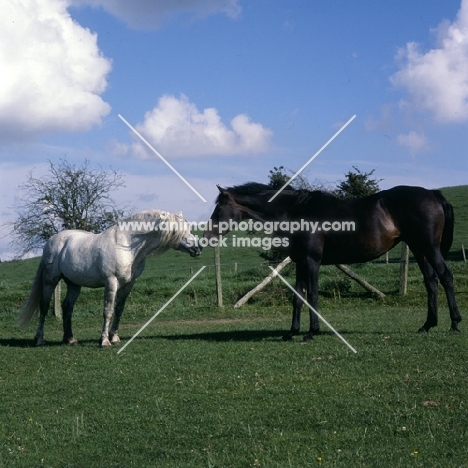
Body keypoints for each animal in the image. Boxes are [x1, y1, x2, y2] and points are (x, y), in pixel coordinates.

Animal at [19, 210, 201, 346]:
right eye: (176, 230)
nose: (198, 248)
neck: (127, 245)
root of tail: (52, 241)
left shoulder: (128, 284)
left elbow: (119, 310)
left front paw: (115, 338)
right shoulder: (111, 282)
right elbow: (108, 311)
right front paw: (104, 341)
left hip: (74, 284)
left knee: (67, 307)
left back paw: (70, 339)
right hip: (50, 280)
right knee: (44, 307)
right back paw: (40, 339)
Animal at [205, 182, 460, 340]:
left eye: (219, 208)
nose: (207, 236)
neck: (295, 212)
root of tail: (433, 194)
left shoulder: (311, 261)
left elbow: (312, 296)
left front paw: (311, 332)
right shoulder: (299, 262)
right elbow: (298, 298)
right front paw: (291, 332)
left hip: (429, 248)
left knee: (446, 277)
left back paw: (455, 323)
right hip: (419, 249)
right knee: (431, 282)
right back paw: (427, 325)